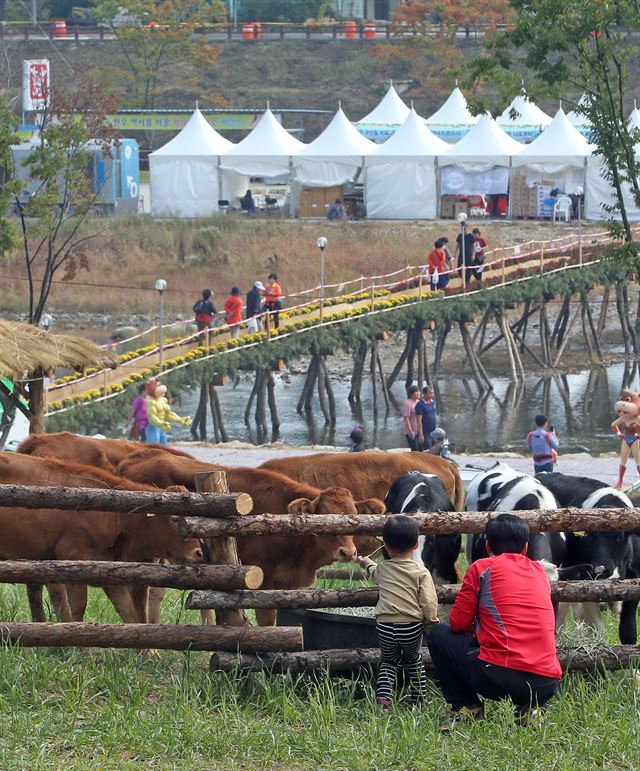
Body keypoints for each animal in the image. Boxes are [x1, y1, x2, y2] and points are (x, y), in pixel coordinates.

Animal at [0, 456, 202, 624]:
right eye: (174, 519)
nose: (199, 553)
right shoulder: (73, 558)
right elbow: (78, 608)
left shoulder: (110, 572)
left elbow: (128, 613)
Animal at [115, 450, 384, 624]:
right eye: (324, 516)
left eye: (354, 516)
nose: (348, 552)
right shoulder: (262, 580)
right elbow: (267, 620)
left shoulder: (291, 583)